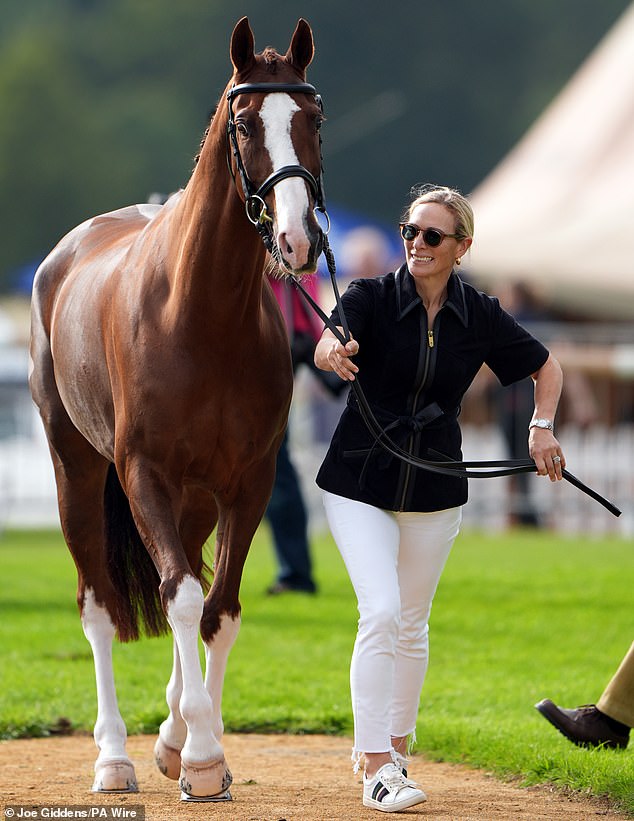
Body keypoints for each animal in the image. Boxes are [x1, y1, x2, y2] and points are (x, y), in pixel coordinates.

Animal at [29, 17, 324, 800]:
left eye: (312, 119)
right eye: (245, 124)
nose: (299, 239)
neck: (201, 315)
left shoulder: (247, 483)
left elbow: (219, 609)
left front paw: (195, 745)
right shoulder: (146, 475)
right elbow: (181, 599)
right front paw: (201, 754)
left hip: (193, 501)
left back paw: (164, 733)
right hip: (79, 473)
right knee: (100, 604)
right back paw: (114, 758)